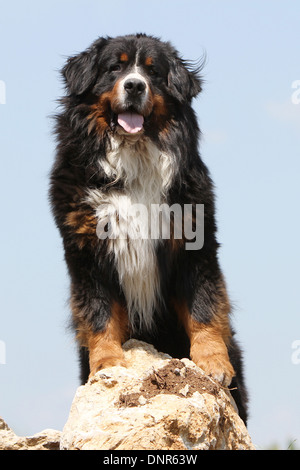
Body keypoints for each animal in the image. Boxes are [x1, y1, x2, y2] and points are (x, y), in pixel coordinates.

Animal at [49, 33, 248, 422]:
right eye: (115, 67)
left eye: (153, 72)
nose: (135, 85)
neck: (133, 158)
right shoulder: (87, 255)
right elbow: (99, 314)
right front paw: (107, 364)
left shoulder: (194, 246)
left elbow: (204, 308)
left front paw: (213, 363)